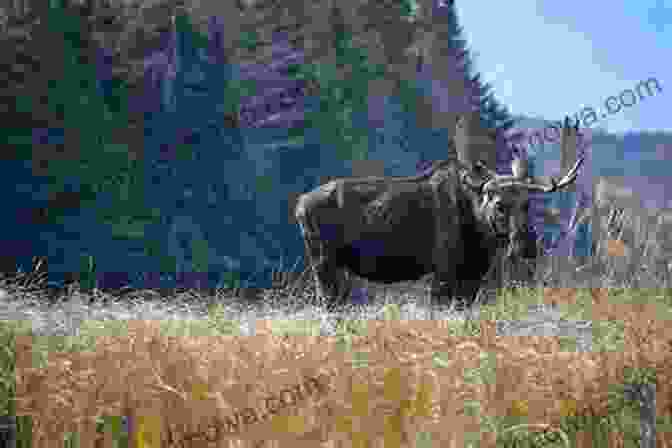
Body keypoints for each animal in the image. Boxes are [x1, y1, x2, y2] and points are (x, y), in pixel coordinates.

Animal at [294, 115, 584, 308]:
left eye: (527, 204)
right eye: (499, 206)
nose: (527, 246)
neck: (480, 236)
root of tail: (298, 205)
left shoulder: (472, 277)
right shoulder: (443, 271)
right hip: (323, 263)